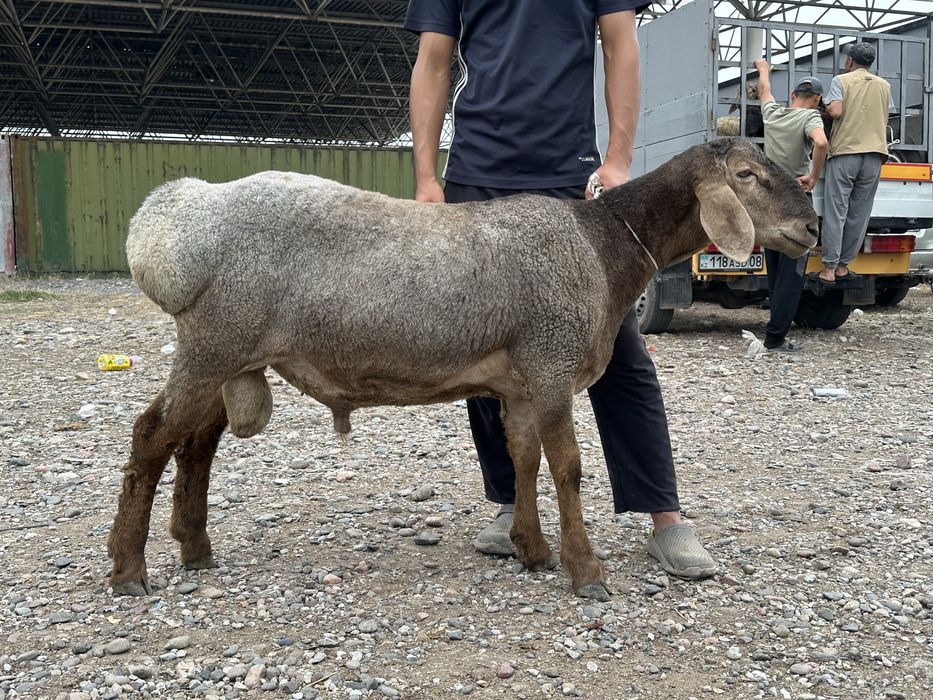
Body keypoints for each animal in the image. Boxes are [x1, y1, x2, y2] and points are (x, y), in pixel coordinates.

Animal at [108, 138, 818, 601]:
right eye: (748, 175)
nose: (811, 227)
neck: (602, 247)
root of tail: (168, 220)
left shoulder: (522, 382)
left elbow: (525, 459)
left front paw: (533, 550)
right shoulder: (552, 362)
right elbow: (567, 467)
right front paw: (585, 570)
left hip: (228, 353)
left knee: (196, 443)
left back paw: (195, 549)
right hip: (215, 344)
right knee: (151, 438)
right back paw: (127, 570)